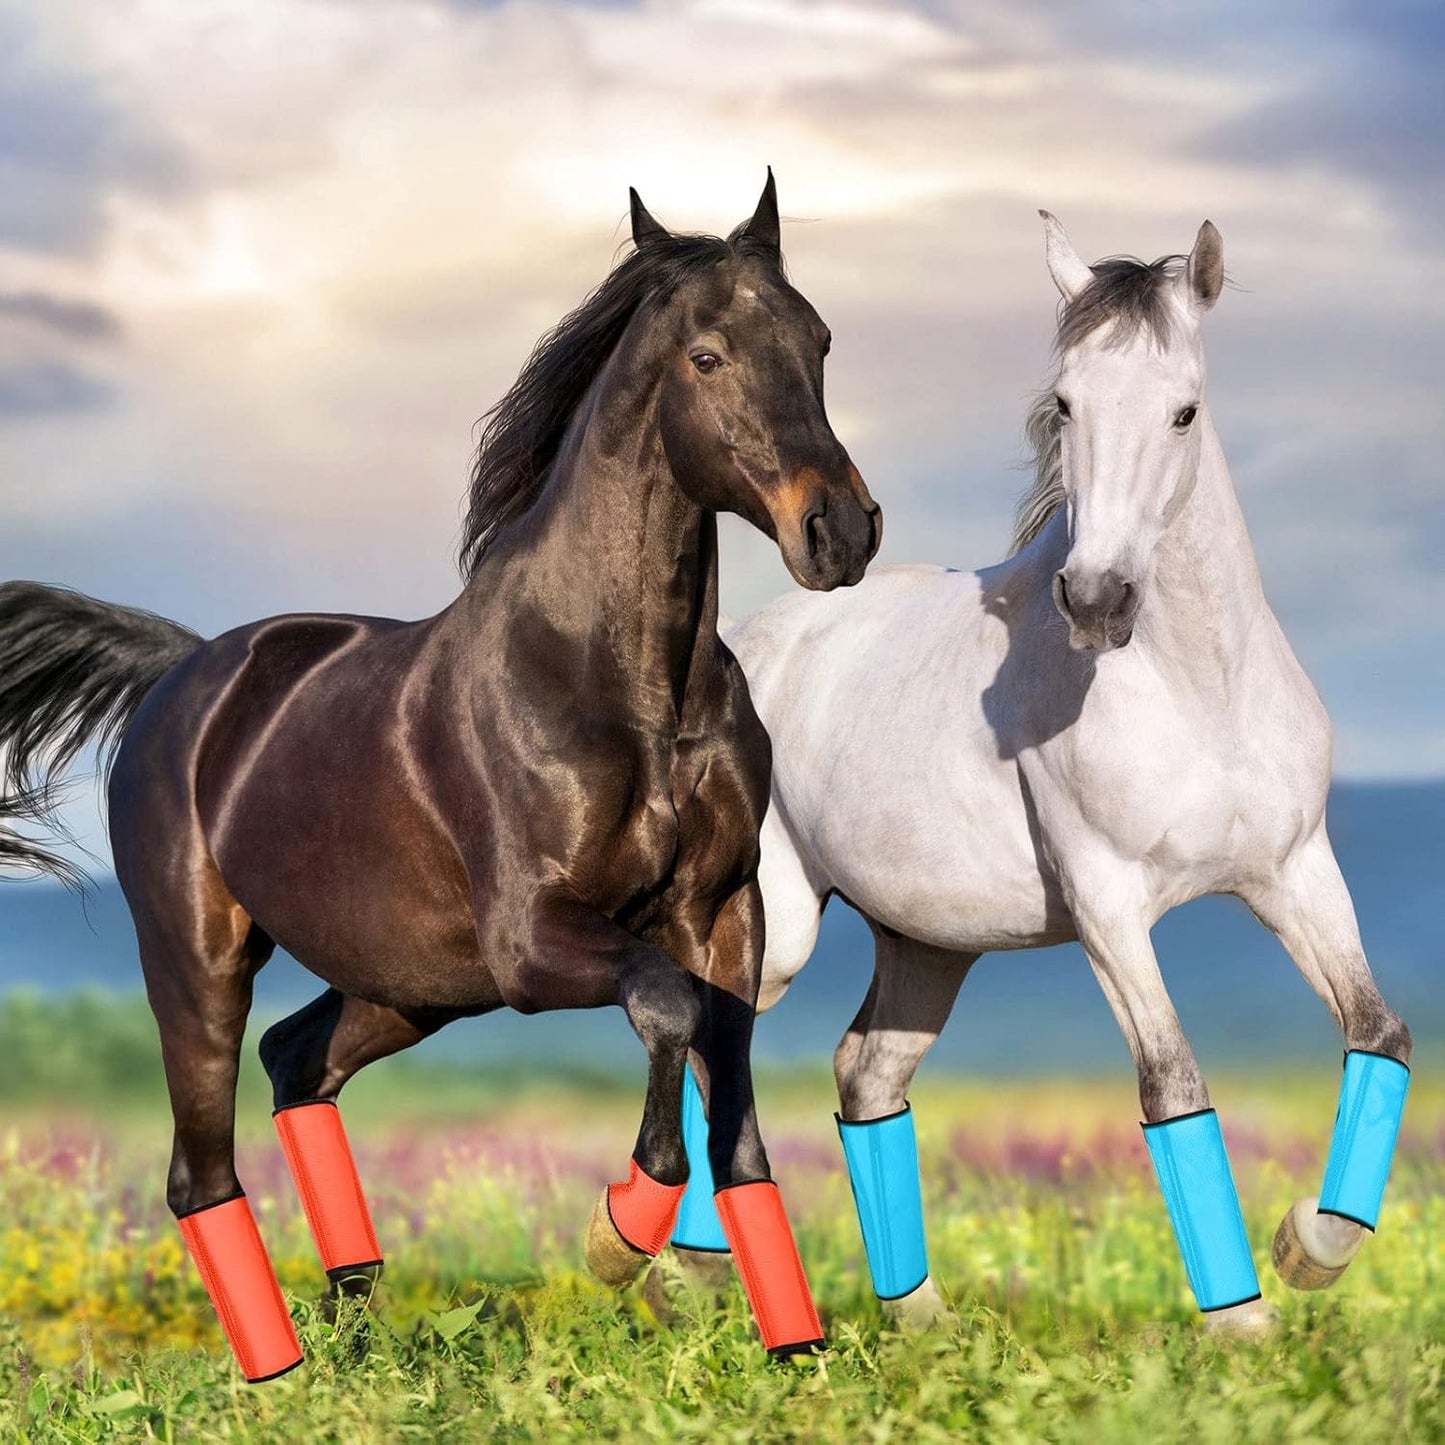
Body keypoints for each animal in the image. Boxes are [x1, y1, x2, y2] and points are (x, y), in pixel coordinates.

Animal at [0, 173, 881, 1381]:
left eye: (819, 339)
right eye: (706, 355)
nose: (840, 531)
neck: (623, 685)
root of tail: (183, 673)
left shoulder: (719, 917)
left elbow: (734, 1110)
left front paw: (796, 1354)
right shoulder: (533, 938)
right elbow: (662, 1010)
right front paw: (617, 1234)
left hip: (409, 984)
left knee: (297, 1061)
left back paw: (355, 1336)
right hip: (200, 958)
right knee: (200, 1167)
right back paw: (281, 1374)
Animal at [665, 213, 1411, 1338]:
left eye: (1184, 409)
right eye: (1065, 403)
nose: (1096, 598)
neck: (1198, 691)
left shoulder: (1293, 873)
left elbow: (1380, 1033)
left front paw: (1307, 1246)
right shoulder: (1108, 906)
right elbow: (1171, 1081)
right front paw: (1241, 1321)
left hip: (928, 945)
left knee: (863, 1074)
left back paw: (917, 1318)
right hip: (779, 925)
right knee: (716, 1050)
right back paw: (662, 1262)